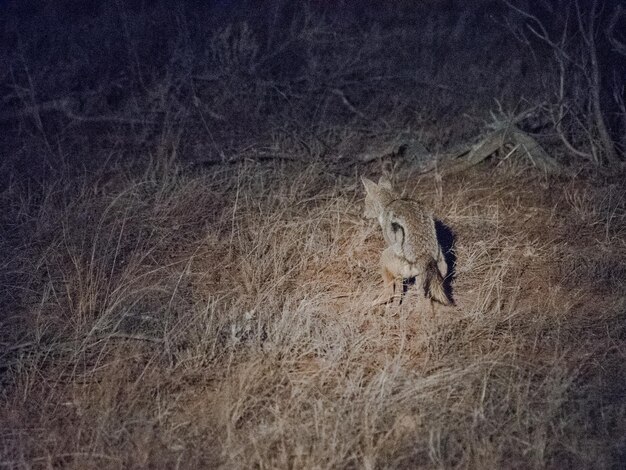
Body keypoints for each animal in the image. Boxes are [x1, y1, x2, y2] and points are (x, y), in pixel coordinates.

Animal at [360, 177, 448, 308]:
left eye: (366, 203)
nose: (363, 216)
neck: (390, 202)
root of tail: (425, 256)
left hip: (384, 258)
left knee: (389, 293)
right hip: (434, 276)